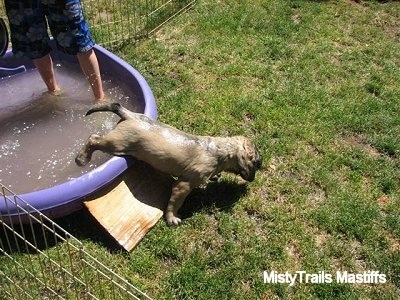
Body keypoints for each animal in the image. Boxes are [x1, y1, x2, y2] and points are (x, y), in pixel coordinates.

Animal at [76, 102, 262, 225]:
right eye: (256, 164)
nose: (253, 180)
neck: (218, 151)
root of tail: (131, 116)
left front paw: (216, 176)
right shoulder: (183, 185)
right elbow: (175, 203)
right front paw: (172, 218)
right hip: (117, 143)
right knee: (93, 139)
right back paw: (81, 159)